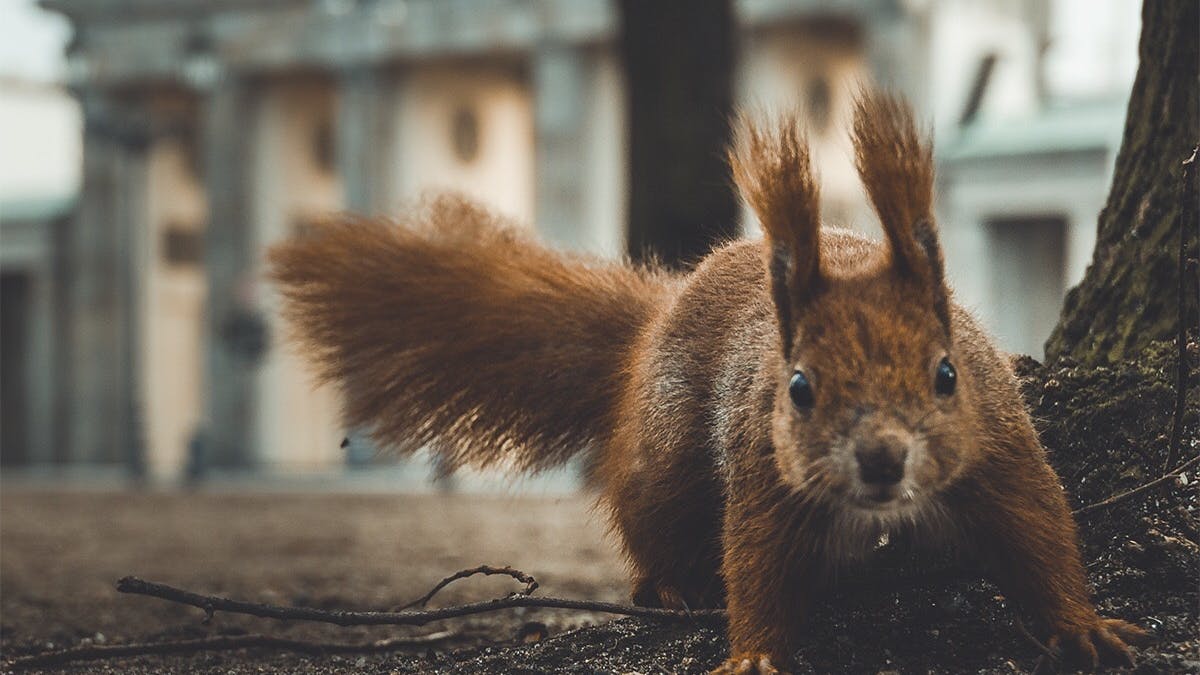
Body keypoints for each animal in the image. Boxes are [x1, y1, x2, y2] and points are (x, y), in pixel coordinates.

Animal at [269, 91, 1146, 673]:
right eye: (799, 386)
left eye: (947, 373)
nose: (882, 458)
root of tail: (661, 312)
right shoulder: (765, 469)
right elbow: (754, 562)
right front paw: (753, 653)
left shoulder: (998, 447)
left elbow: (1040, 530)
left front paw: (1084, 624)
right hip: (669, 460)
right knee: (651, 523)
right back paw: (668, 587)